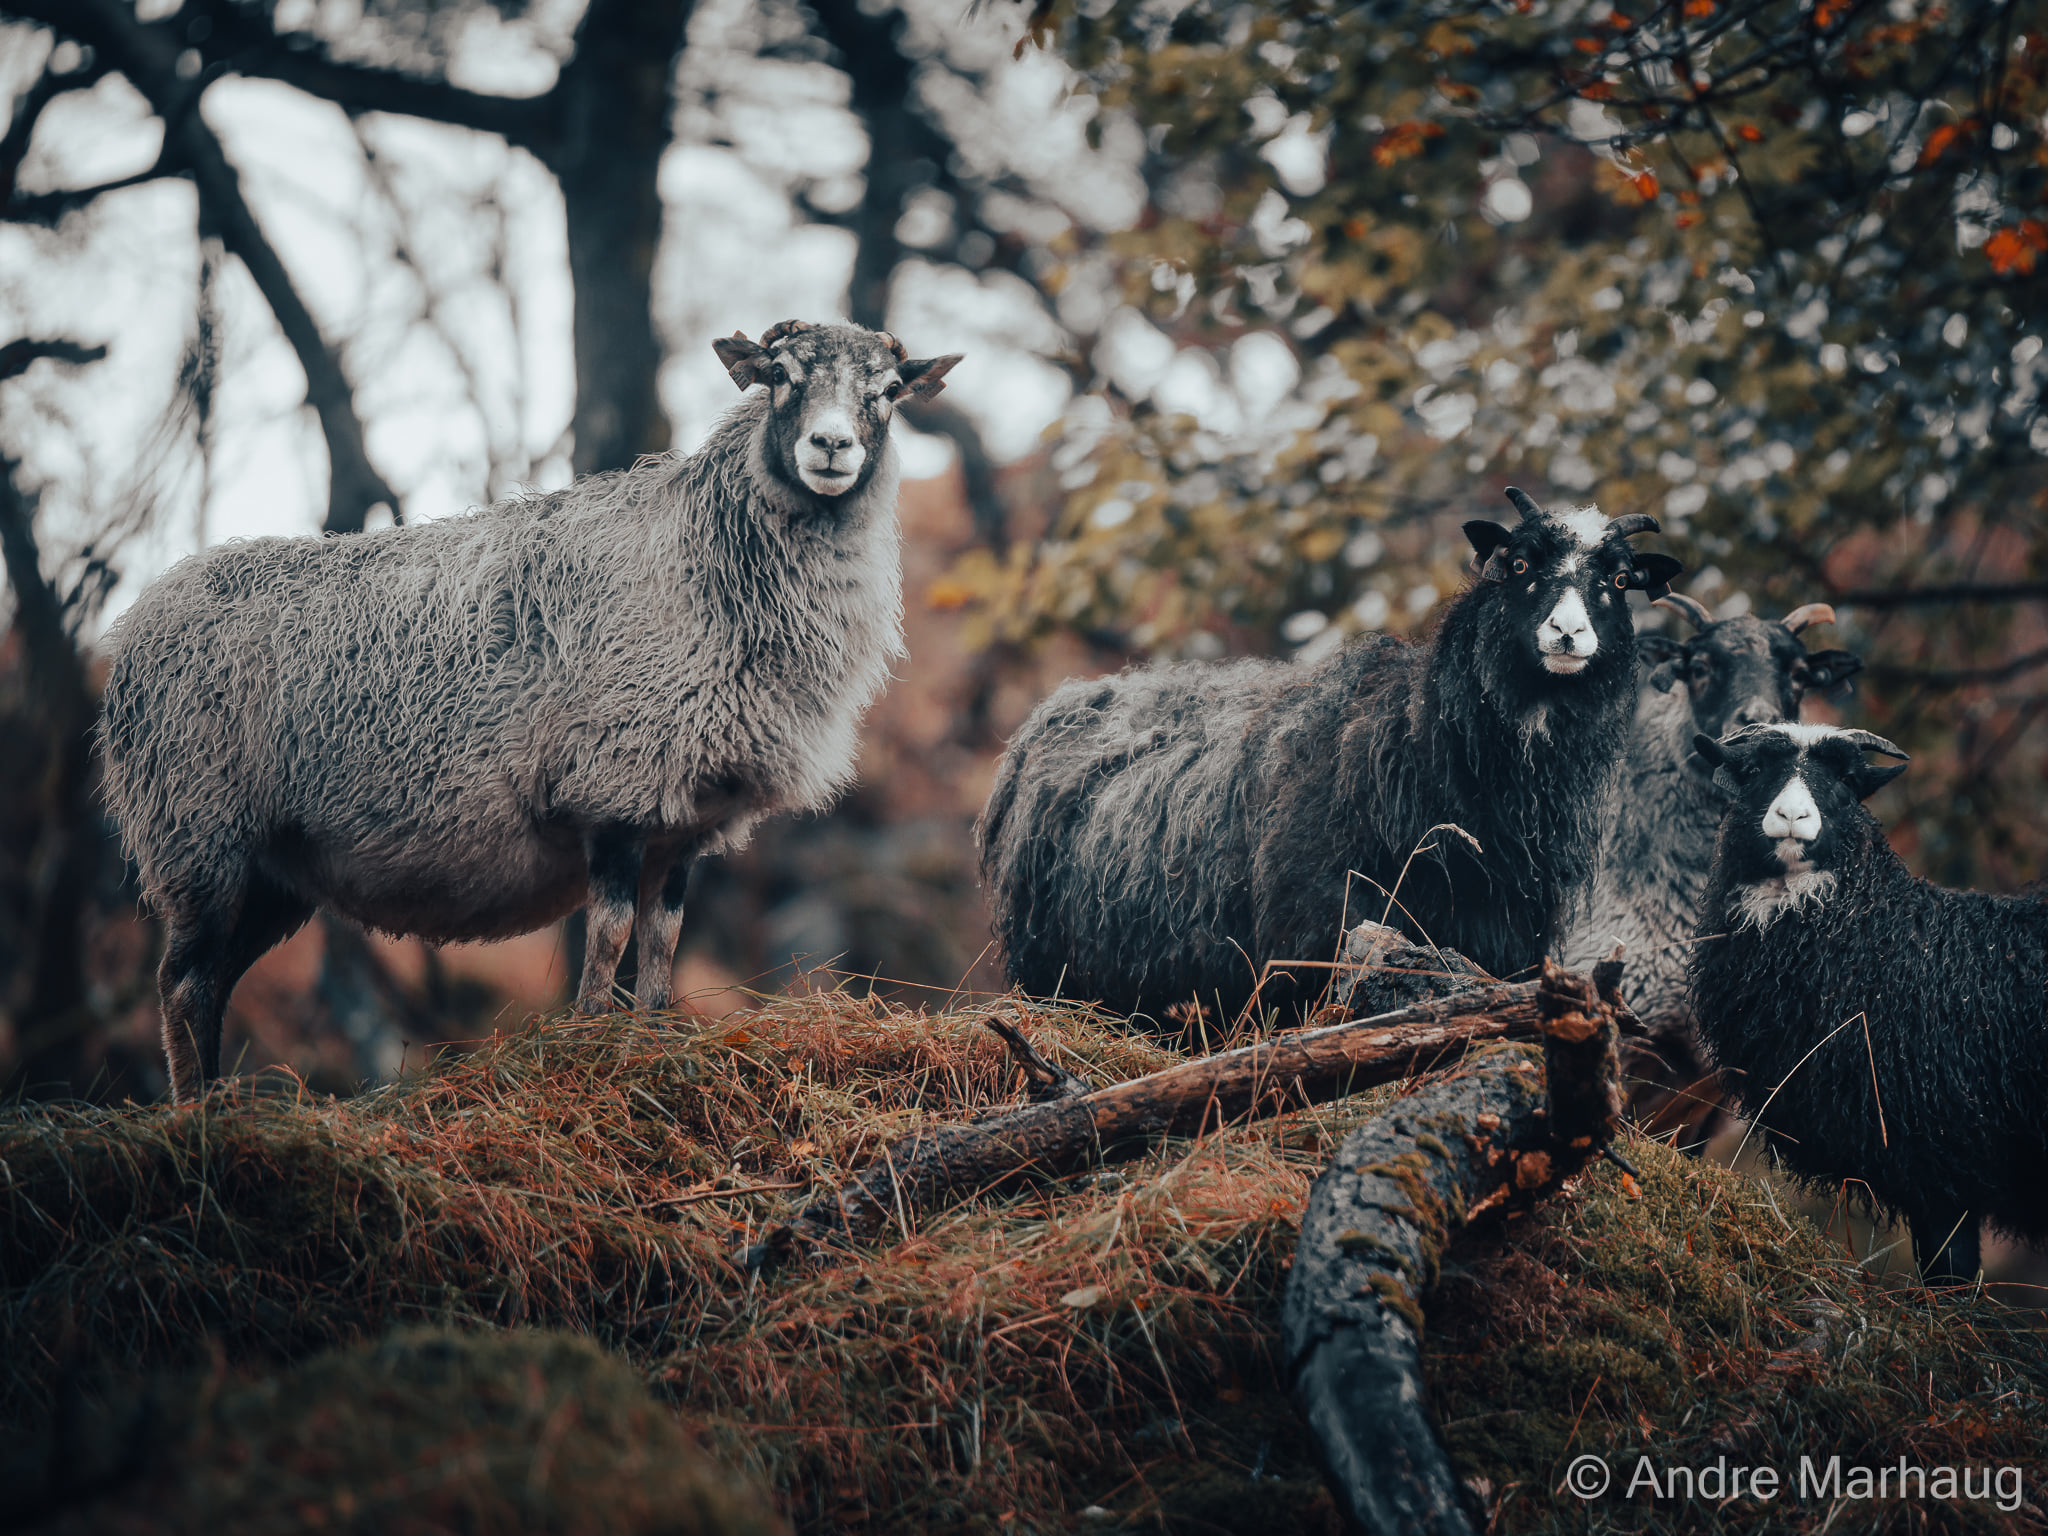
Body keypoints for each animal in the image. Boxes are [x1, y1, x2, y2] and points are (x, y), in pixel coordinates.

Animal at [96, 319, 958, 1097]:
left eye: (886, 392)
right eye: (779, 375)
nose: (831, 447)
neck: (703, 558)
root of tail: (139, 620)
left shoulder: (683, 820)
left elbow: (662, 942)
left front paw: (652, 1040)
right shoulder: (616, 784)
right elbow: (610, 934)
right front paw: (590, 1044)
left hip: (272, 864)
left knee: (212, 980)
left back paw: (215, 1105)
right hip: (199, 831)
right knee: (185, 983)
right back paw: (193, 1114)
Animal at [974, 487, 1679, 1028]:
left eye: (1619, 581)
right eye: (1521, 564)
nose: (1568, 633)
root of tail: (1067, 700)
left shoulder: (1505, 937)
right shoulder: (1310, 935)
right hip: (1055, 970)